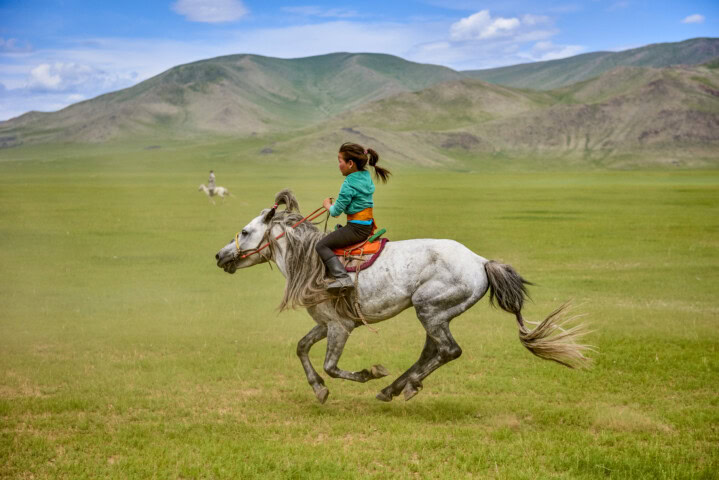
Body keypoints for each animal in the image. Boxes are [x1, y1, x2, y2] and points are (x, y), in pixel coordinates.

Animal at [215, 189, 593, 404]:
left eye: (245, 232)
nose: (219, 255)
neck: (310, 261)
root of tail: (481, 262)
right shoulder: (326, 324)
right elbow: (301, 348)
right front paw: (319, 390)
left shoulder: (340, 327)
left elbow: (331, 366)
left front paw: (370, 373)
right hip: (437, 314)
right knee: (434, 351)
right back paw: (397, 388)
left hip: (430, 309)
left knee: (448, 350)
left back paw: (398, 386)